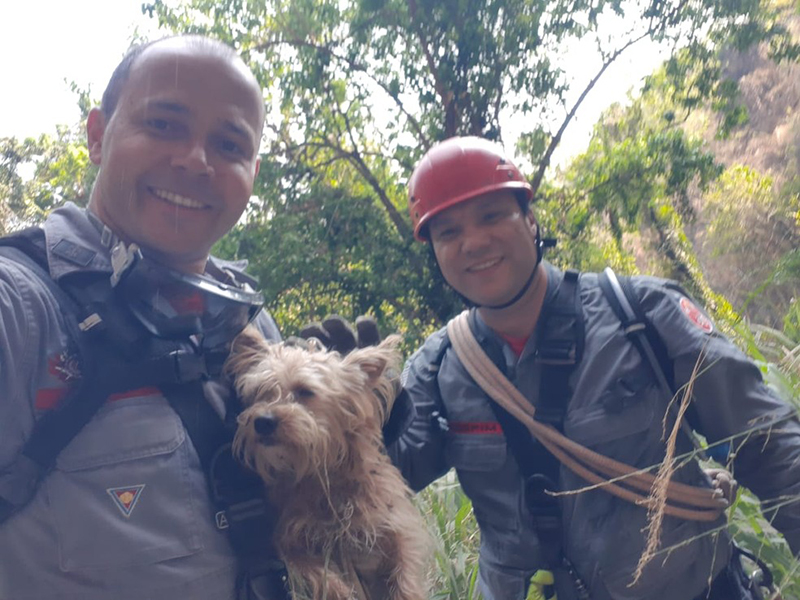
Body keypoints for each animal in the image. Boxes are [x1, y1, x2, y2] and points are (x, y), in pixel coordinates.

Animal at [225, 328, 432, 600]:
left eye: (305, 391)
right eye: (259, 391)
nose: (263, 421)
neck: (327, 481)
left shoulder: (396, 530)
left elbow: (404, 579)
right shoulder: (288, 542)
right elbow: (317, 574)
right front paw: (341, 591)